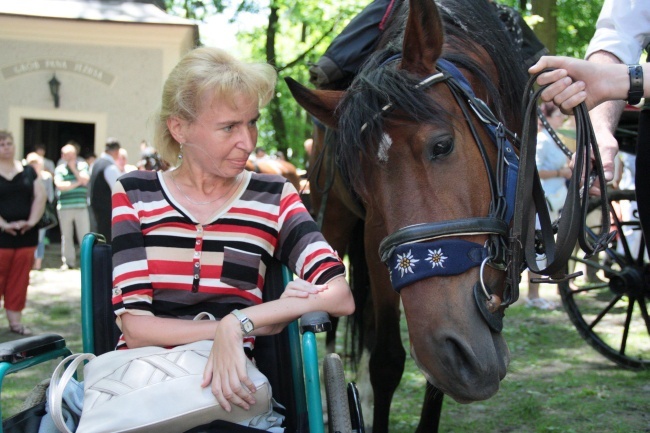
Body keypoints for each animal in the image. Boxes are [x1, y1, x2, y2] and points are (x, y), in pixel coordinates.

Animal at [288, 1, 528, 430]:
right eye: (360, 181)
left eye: (442, 145)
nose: (443, 354)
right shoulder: (375, 235)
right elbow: (386, 362)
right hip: (332, 220)